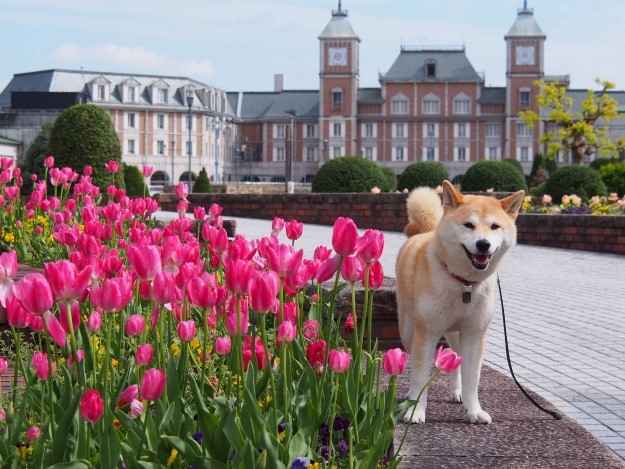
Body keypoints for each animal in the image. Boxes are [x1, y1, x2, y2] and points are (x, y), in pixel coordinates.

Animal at [394, 181, 528, 422]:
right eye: (469, 225)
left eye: (495, 226)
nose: (483, 244)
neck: (463, 284)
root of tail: (425, 231)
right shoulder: (426, 333)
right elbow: (420, 376)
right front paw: (415, 411)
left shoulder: (474, 334)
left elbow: (472, 379)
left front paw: (473, 411)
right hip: (409, 330)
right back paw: (409, 398)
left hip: (456, 333)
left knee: (456, 362)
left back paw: (456, 393)